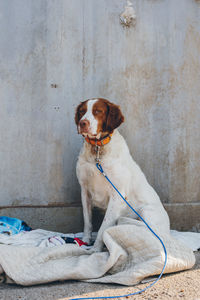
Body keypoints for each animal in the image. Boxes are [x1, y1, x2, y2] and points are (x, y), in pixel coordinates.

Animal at [74, 98, 170, 251]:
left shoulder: (117, 195)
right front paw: (85, 241)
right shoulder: (85, 191)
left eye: (98, 111)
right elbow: (87, 221)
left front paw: (95, 249)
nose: (82, 123)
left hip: (146, 212)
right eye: (82, 111)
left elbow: (103, 227)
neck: (97, 149)